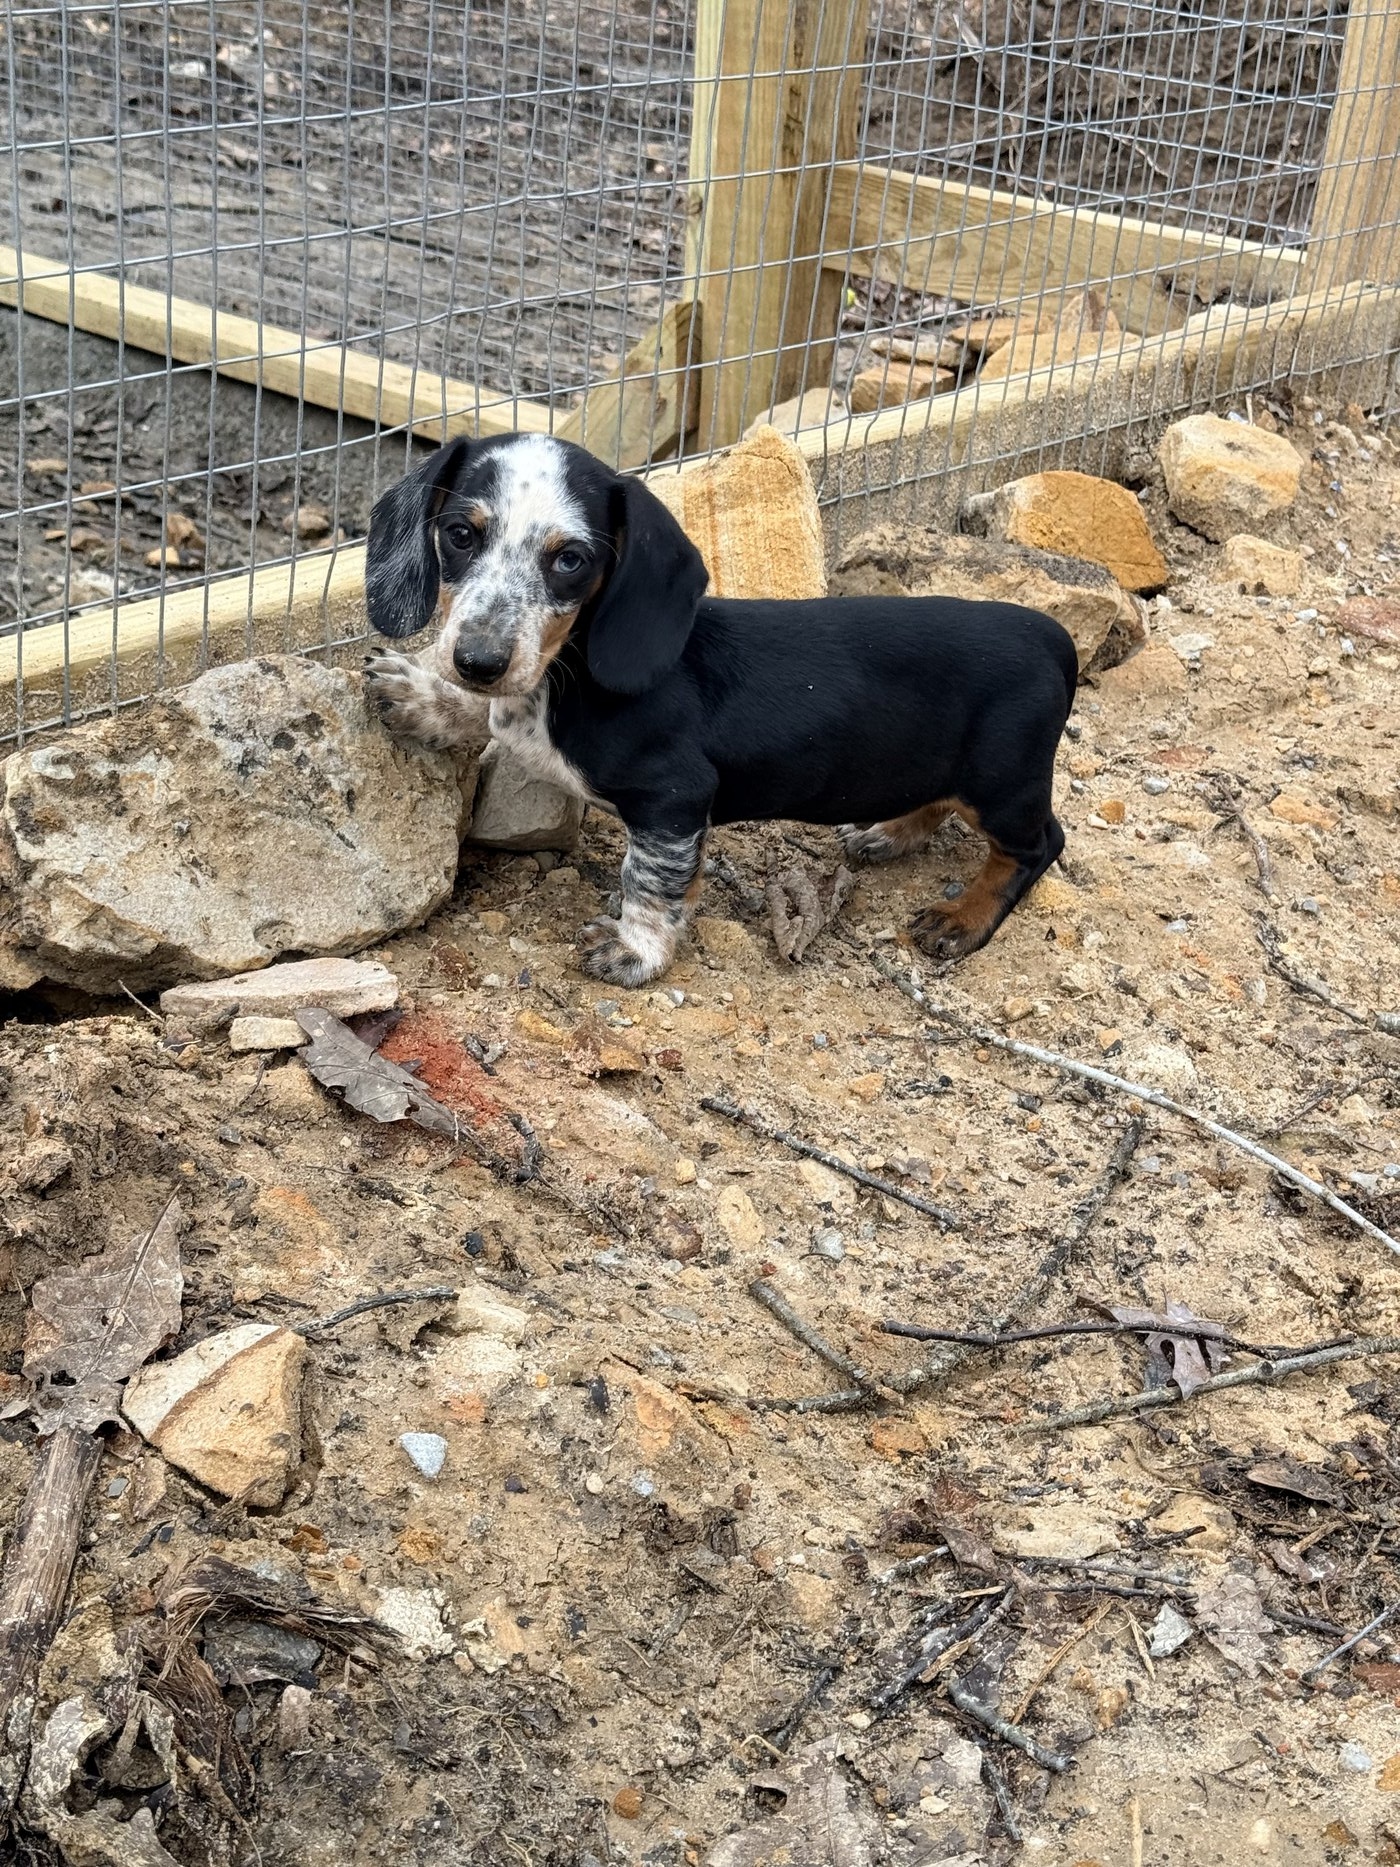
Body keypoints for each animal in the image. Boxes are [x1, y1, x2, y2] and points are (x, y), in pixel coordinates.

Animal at [363, 432, 1078, 988]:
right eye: (460, 534)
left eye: (571, 559)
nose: (477, 661)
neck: (567, 674)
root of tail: (1053, 638)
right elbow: (490, 718)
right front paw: (422, 695)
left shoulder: (674, 797)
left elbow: (648, 882)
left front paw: (636, 952)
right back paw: (890, 832)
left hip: (1002, 781)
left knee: (1038, 844)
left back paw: (963, 918)